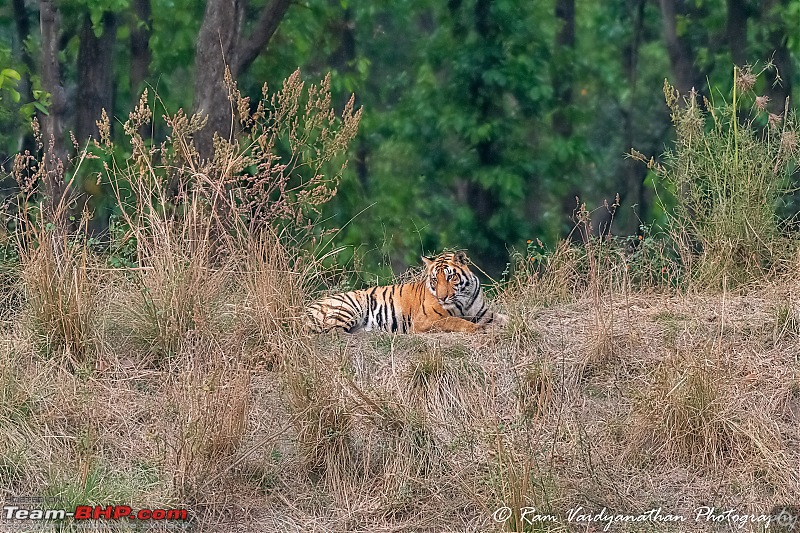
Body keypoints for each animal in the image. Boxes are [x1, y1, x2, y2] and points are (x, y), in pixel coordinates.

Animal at [304, 250, 506, 332]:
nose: (442, 298)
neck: (463, 298)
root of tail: (305, 310)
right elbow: (455, 321)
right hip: (349, 307)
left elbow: (503, 317)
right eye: (435, 279)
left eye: (450, 277)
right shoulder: (426, 320)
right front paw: (478, 328)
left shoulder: (483, 312)